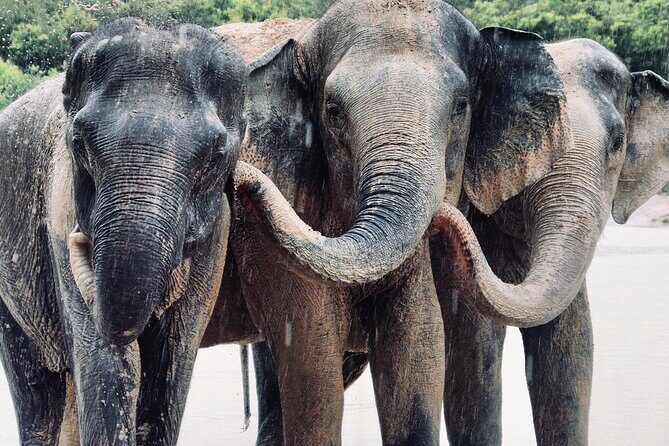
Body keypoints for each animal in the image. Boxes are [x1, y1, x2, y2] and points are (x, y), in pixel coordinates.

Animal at [0, 18, 247, 445]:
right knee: (35, 388)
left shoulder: (218, 233)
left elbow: (170, 363)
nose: (81, 239)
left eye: (216, 157)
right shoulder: (60, 208)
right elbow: (107, 363)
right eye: (79, 142)